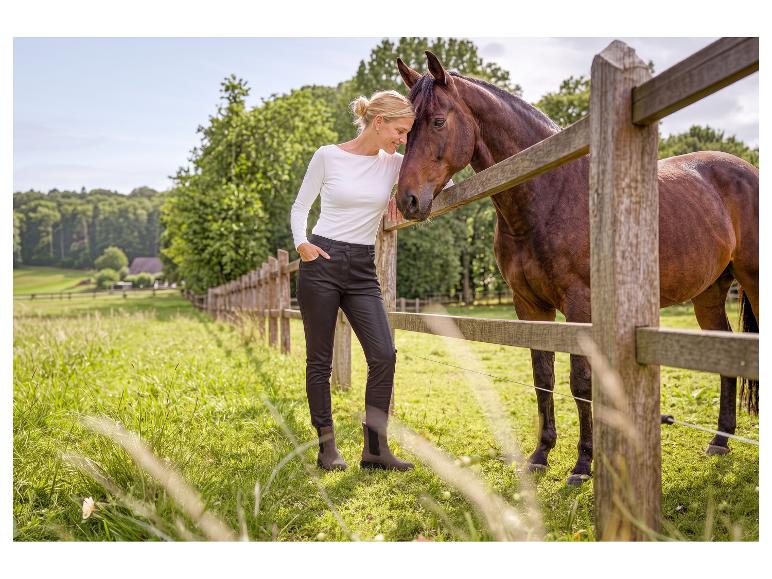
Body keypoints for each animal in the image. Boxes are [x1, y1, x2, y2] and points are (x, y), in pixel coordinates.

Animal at [394, 52, 759, 486]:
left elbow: (581, 381)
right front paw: (541, 454)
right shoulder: (529, 306)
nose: (406, 200)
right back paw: (720, 440)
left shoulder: (581, 305)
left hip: (753, 279)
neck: (550, 192)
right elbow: (543, 378)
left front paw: (584, 463)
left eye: (437, 121)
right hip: (709, 292)